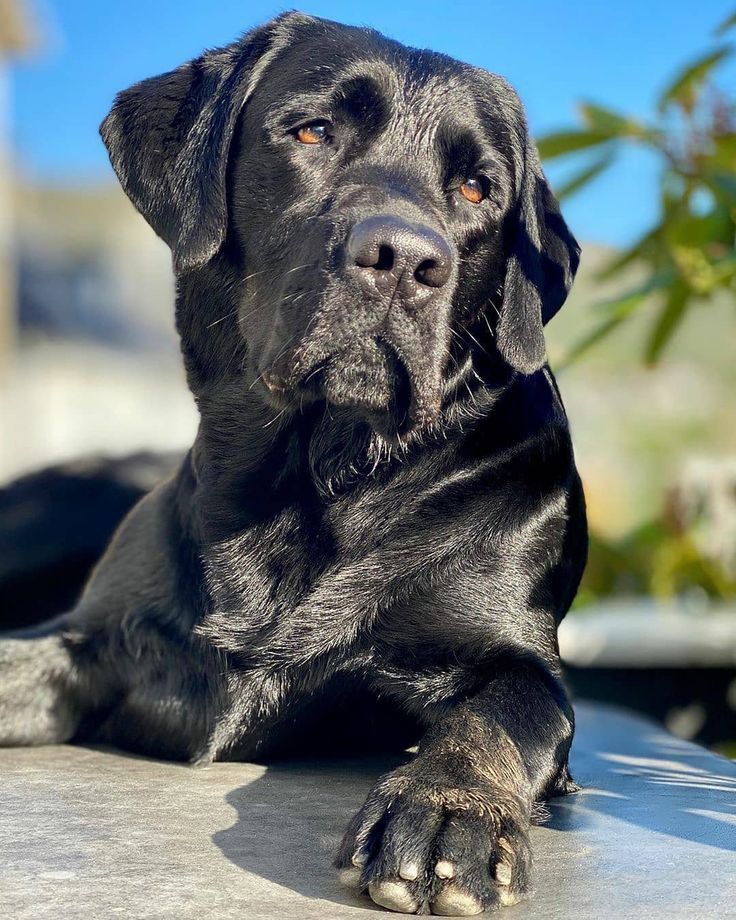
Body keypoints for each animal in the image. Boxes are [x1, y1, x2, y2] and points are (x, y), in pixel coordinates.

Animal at [0, 10, 588, 916]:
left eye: (476, 189)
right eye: (313, 131)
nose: (404, 259)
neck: (313, 476)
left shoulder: (518, 657)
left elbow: (495, 714)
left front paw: (448, 810)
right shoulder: (94, 637)